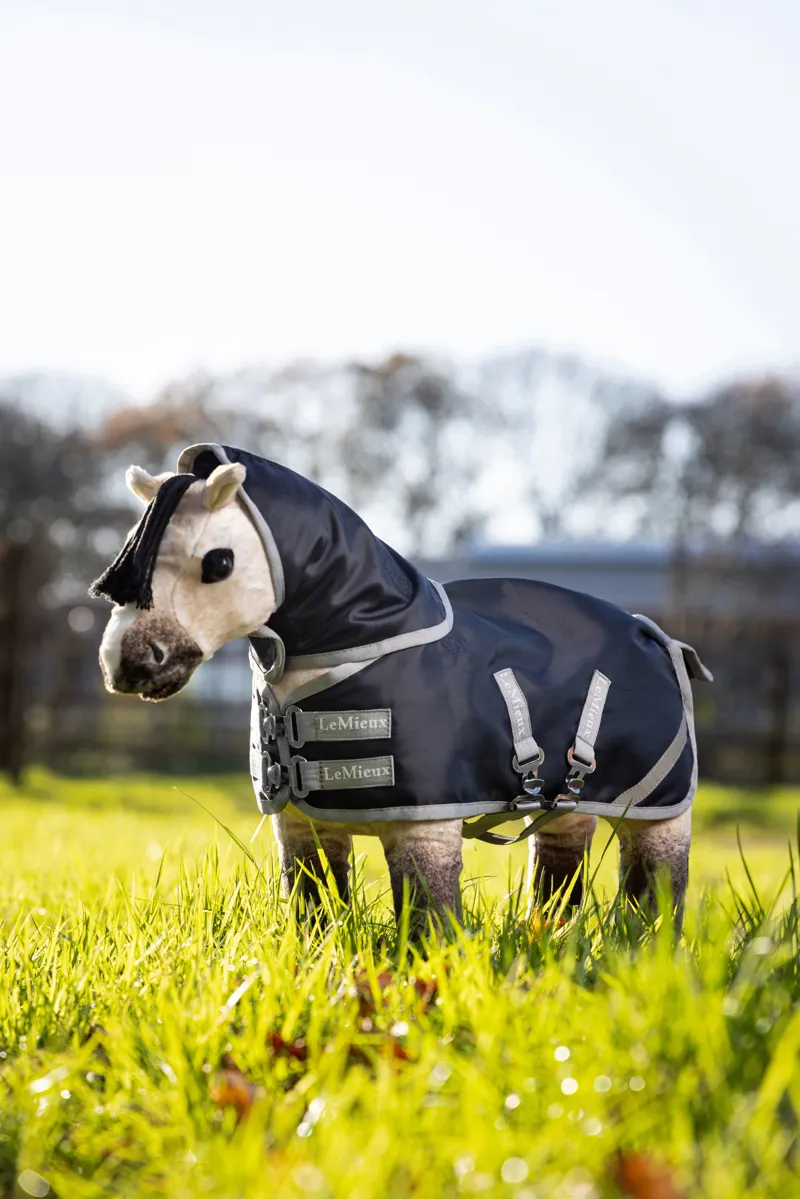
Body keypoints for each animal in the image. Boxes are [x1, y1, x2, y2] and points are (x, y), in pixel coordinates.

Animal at [91, 443, 711, 929]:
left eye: (219, 562)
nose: (127, 664)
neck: (366, 643)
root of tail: (654, 634)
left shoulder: (425, 828)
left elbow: (427, 919)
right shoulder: (302, 825)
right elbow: (314, 910)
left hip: (656, 810)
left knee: (657, 887)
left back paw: (645, 950)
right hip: (569, 805)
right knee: (560, 874)